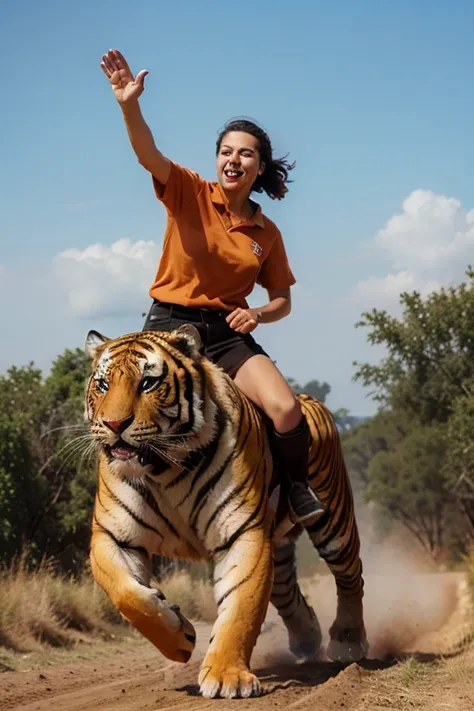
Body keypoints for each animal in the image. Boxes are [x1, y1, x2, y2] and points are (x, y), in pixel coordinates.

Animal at [84, 324, 366, 700]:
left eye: (148, 383)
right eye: (102, 385)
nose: (114, 424)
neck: (164, 469)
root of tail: (309, 399)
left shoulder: (243, 533)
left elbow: (240, 608)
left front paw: (226, 677)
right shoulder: (113, 535)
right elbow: (127, 594)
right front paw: (180, 637)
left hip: (333, 520)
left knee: (350, 575)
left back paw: (348, 643)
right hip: (278, 548)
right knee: (288, 593)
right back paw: (307, 640)